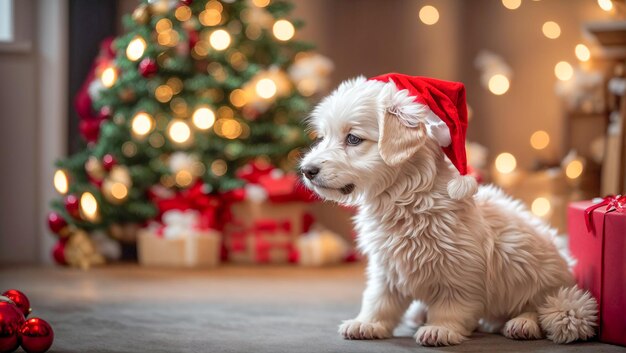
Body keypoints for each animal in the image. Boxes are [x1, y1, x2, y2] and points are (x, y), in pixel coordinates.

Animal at [300, 75, 596, 346]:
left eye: (353, 139)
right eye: (323, 138)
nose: (306, 170)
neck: (403, 198)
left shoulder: (460, 270)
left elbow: (451, 305)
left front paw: (440, 329)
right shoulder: (386, 267)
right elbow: (379, 299)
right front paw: (367, 323)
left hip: (534, 269)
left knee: (539, 305)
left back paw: (522, 324)